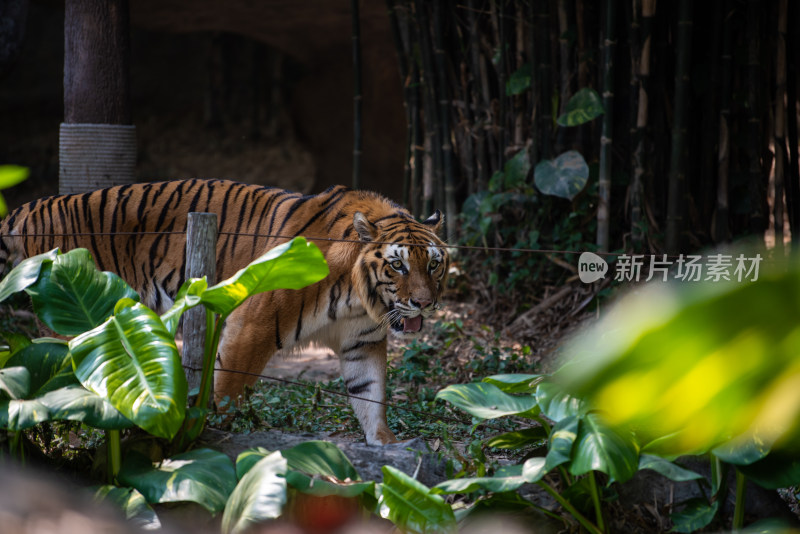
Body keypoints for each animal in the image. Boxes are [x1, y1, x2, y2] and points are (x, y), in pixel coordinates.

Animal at [0, 180, 450, 448]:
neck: (360, 297)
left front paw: (386, 446)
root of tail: (33, 207)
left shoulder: (362, 342)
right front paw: (207, 440)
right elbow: (228, 393)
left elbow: (370, 394)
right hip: (76, 325)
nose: (424, 303)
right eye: (397, 266)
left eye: (433, 264)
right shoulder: (251, 324)